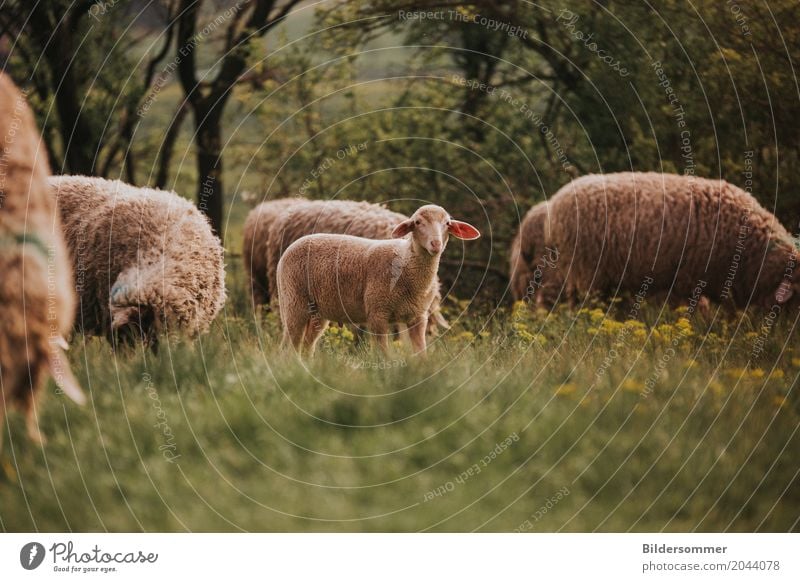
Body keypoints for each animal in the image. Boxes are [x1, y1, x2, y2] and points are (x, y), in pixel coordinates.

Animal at [276, 208, 476, 358]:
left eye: (447, 223)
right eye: (417, 222)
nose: (436, 244)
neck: (407, 261)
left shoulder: (418, 317)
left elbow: (421, 353)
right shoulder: (377, 313)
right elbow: (383, 354)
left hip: (317, 311)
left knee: (306, 347)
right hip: (293, 302)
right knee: (288, 347)